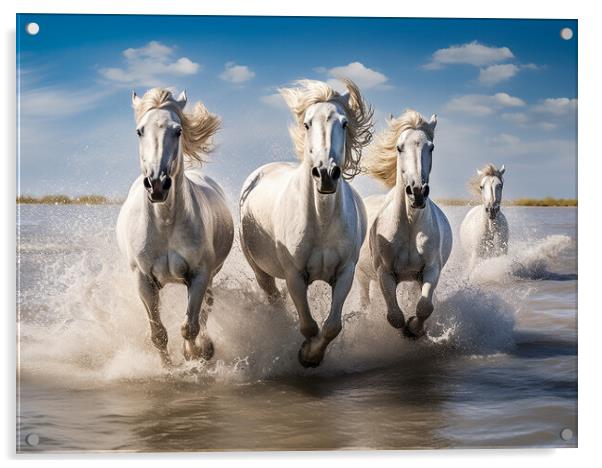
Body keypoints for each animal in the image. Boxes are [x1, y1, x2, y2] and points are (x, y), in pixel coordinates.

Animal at [116, 88, 233, 366]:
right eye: (139, 131)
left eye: (178, 130)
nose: (157, 184)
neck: (165, 222)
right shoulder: (143, 281)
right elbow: (158, 334)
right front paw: (168, 369)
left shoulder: (199, 275)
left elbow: (190, 326)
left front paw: (194, 354)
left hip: (212, 275)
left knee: (205, 311)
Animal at [238, 78, 370, 368]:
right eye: (308, 123)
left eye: (344, 123)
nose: (326, 174)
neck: (321, 220)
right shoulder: (294, 275)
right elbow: (308, 325)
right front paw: (306, 354)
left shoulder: (345, 272)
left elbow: (332, 326)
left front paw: (312, 355)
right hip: (260, 270)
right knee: (274, 299)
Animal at [356, 109, 450, 338]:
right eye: (399, 147)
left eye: (431, 147)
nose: (417, 192)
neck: (409, 224)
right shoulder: (385, 273)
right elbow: (395, 317)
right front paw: (404, 331)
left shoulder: (430, 270)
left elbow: (424, 307)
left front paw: (415, 329)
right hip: (363, 276)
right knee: (365, 302)